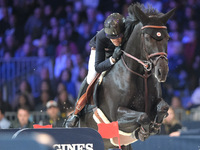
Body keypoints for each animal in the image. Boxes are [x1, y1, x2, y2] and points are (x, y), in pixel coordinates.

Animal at [78, 3, 175, 150]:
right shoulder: (116, 116)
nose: (162, 71)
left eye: (167, 38)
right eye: (147, 38)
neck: (141, 75)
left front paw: (154, 127)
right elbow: (143, 117)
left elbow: (163, 107)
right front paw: (143, 132)